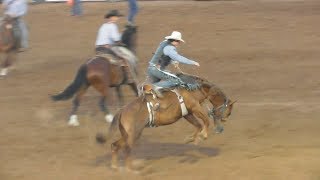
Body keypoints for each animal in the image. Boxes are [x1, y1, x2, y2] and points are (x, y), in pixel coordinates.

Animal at [95, 74, 235, 171]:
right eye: (229, 112)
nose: (224, 122)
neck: (193, 90)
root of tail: (122, 110)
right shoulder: (195, 107)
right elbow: (205, 120)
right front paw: (203, 135)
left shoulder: (187, 114)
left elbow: (198, 124)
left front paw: (192, 138)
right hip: (133, 134)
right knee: (127, 149)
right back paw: (131, 169)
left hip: (126, 134)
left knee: (114, 145)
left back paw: (115, 167)